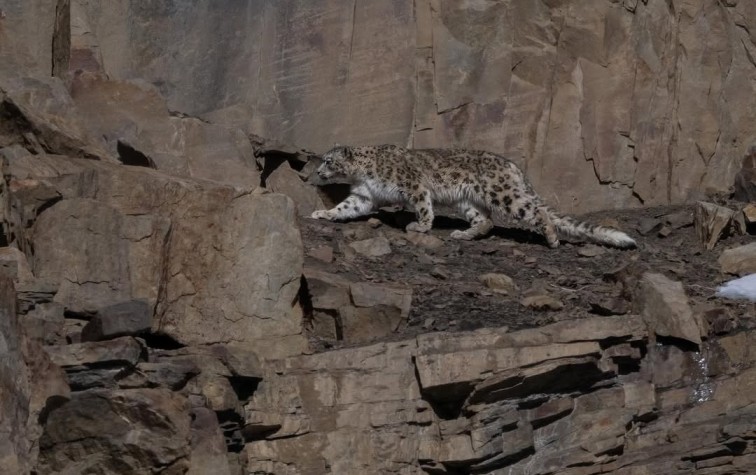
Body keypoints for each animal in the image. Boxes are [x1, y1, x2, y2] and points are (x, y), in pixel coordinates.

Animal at [310, 144, 637, 249]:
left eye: (328, 161)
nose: (318, 171)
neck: (360, 175)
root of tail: (513, 166)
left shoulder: (413, 185)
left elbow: (423, 207)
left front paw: (420, 227)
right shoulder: (363, 196)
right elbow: (345, 207)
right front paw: (322, 213)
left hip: (503, 195)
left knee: (537, 212)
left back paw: (552, 238)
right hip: (466, 201)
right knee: (486, 221)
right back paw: (463, 234)